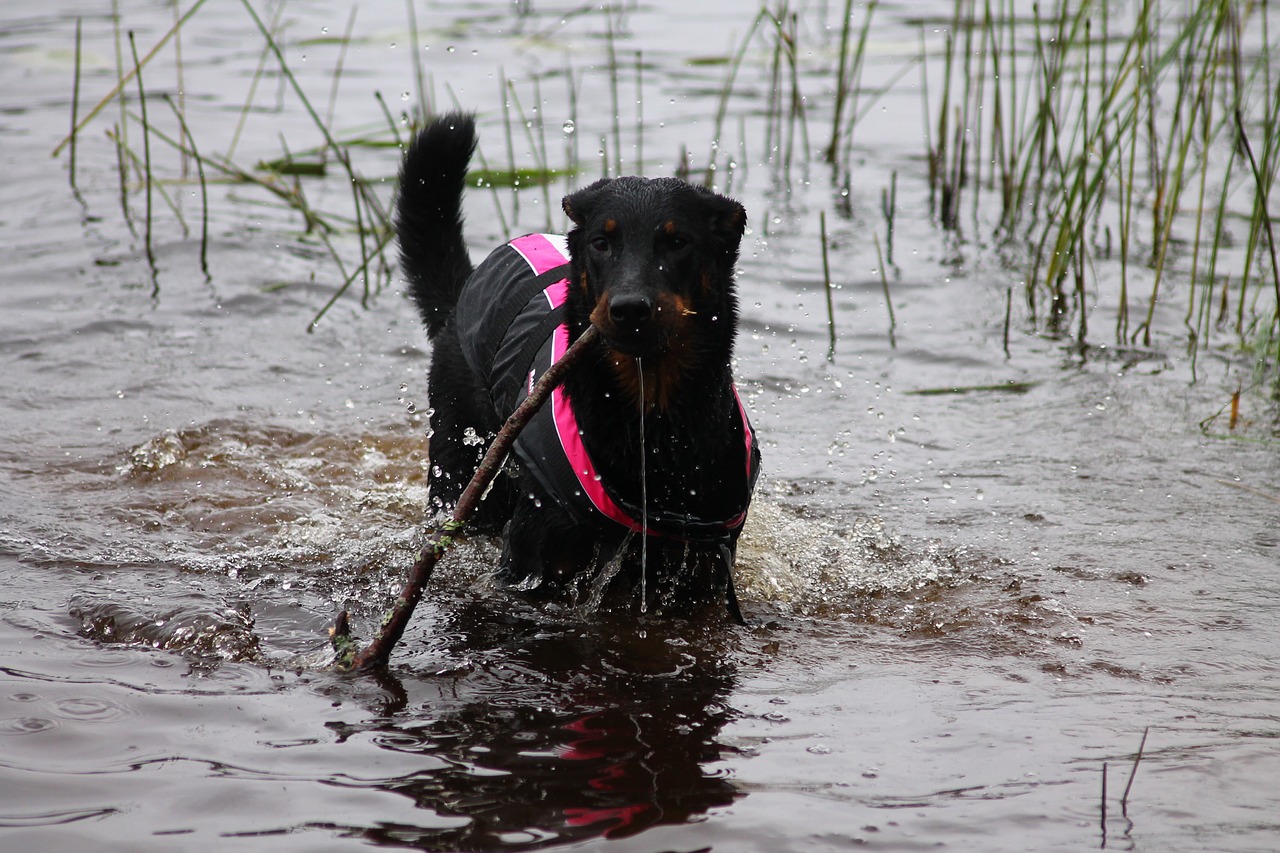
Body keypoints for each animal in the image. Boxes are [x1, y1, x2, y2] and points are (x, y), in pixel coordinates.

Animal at [396, 112, 757, 617]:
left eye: (678, 242)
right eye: (601, 243)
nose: (629, 308)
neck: (650, 415)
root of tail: (464, 291)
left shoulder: (702, 570)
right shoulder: (531, 565)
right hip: (461, 470)